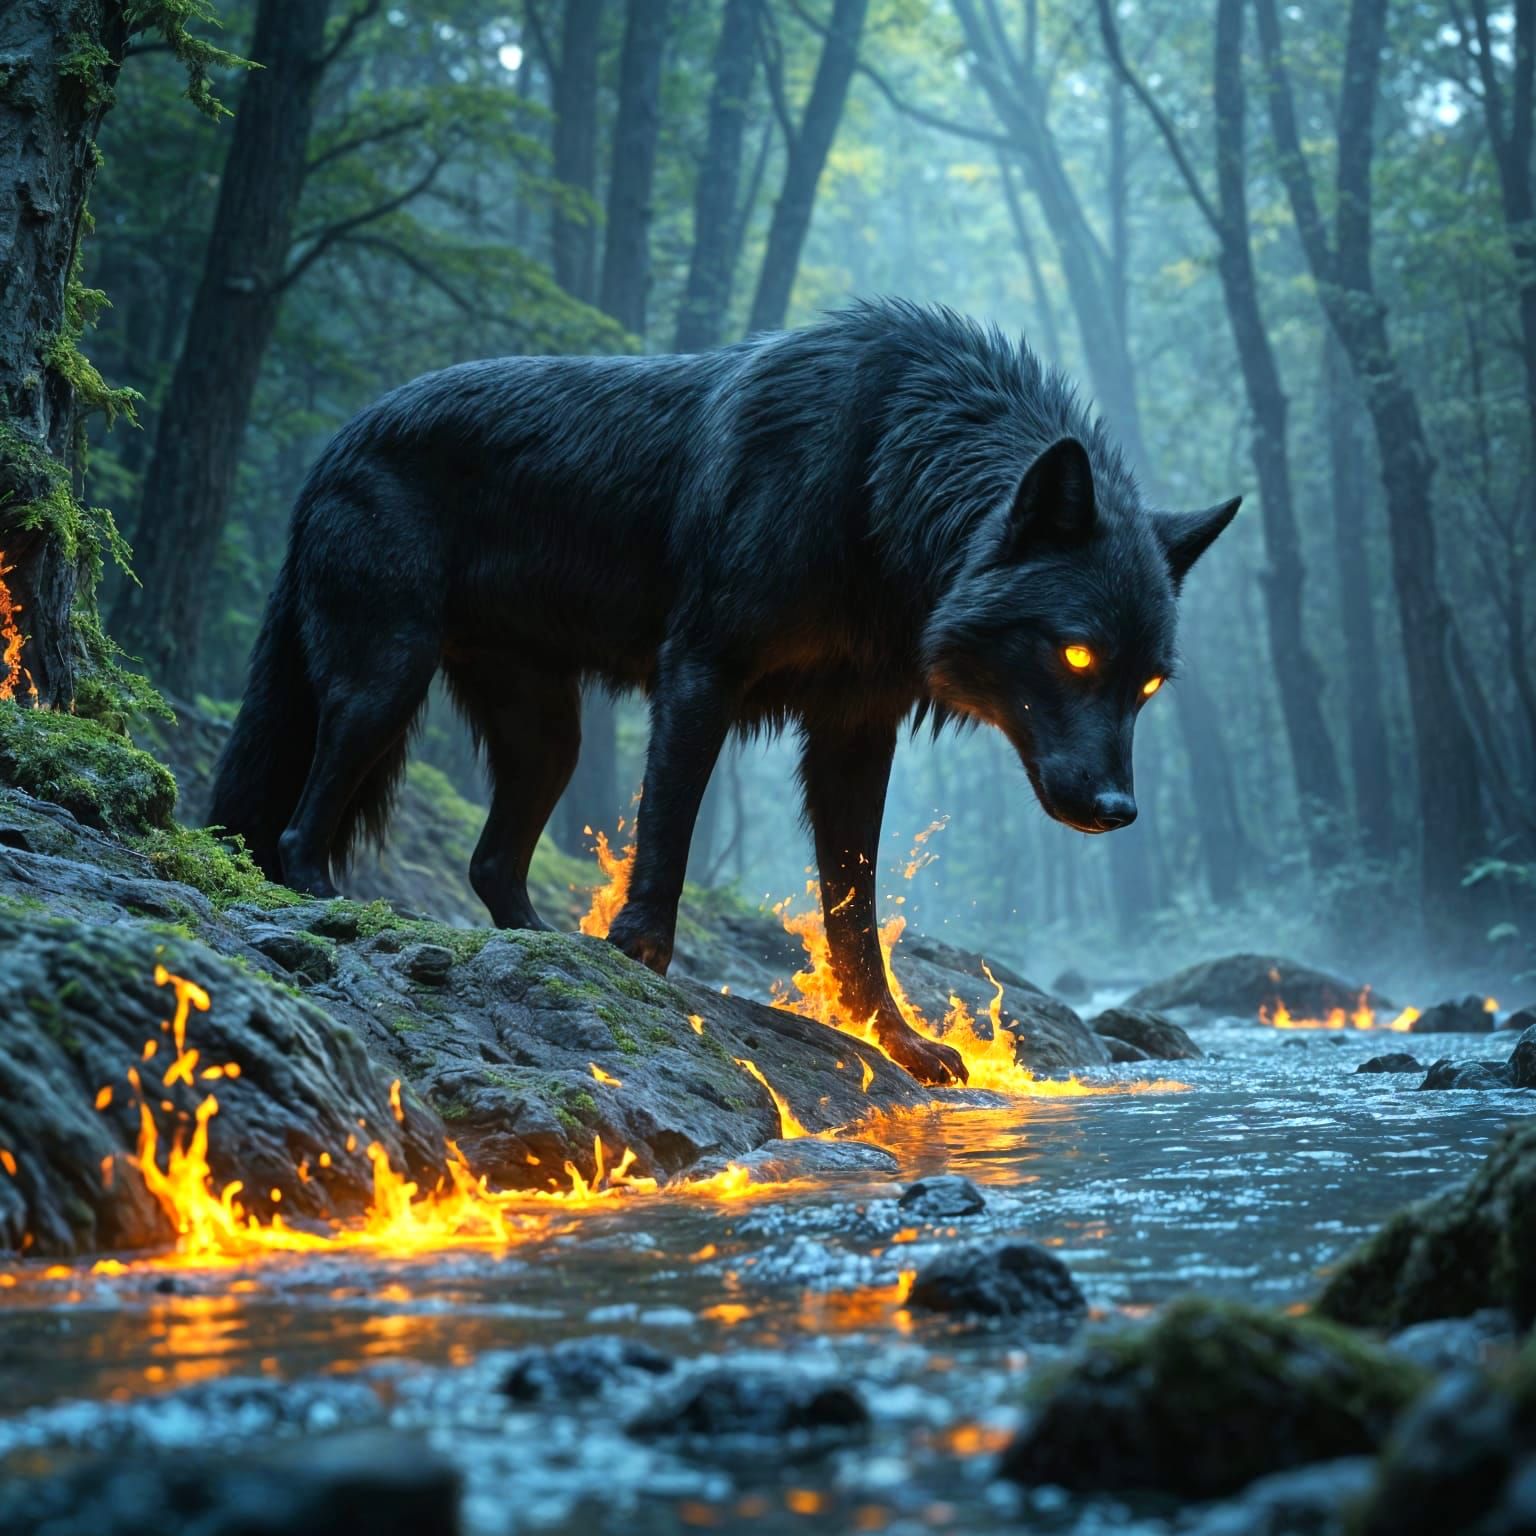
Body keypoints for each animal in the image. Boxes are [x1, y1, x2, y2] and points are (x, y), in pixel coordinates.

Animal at [210, 299, 1238, 1086]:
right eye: (1077, 656)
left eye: (1148, 681)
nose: (1116, 809)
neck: (877, 479)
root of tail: (336, 443)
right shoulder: (700, 673)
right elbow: (666, 840)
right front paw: (640, 961)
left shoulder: (855, 733)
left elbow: (854, 912)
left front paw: (898, 1040)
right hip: (385, 684)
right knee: (300, 828)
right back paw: (333, 899)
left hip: (547, 739)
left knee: (491, 862)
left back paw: (553, 947)